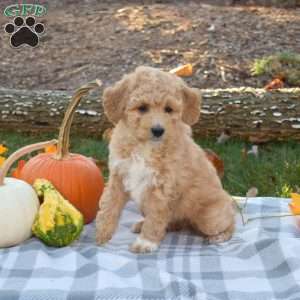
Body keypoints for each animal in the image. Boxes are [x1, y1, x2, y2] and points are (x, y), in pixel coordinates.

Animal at [96, 66, 234, 253]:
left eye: (168, 109)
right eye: (142, 108)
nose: (158, 130)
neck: (145, 147)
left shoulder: (161, 188)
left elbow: (155, 218)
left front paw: (145, 242)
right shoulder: (118, 177)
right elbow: (109, 206)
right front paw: (102, 235)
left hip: (210, 217)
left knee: (231, 223)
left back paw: (219, 236)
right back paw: (143, 224)